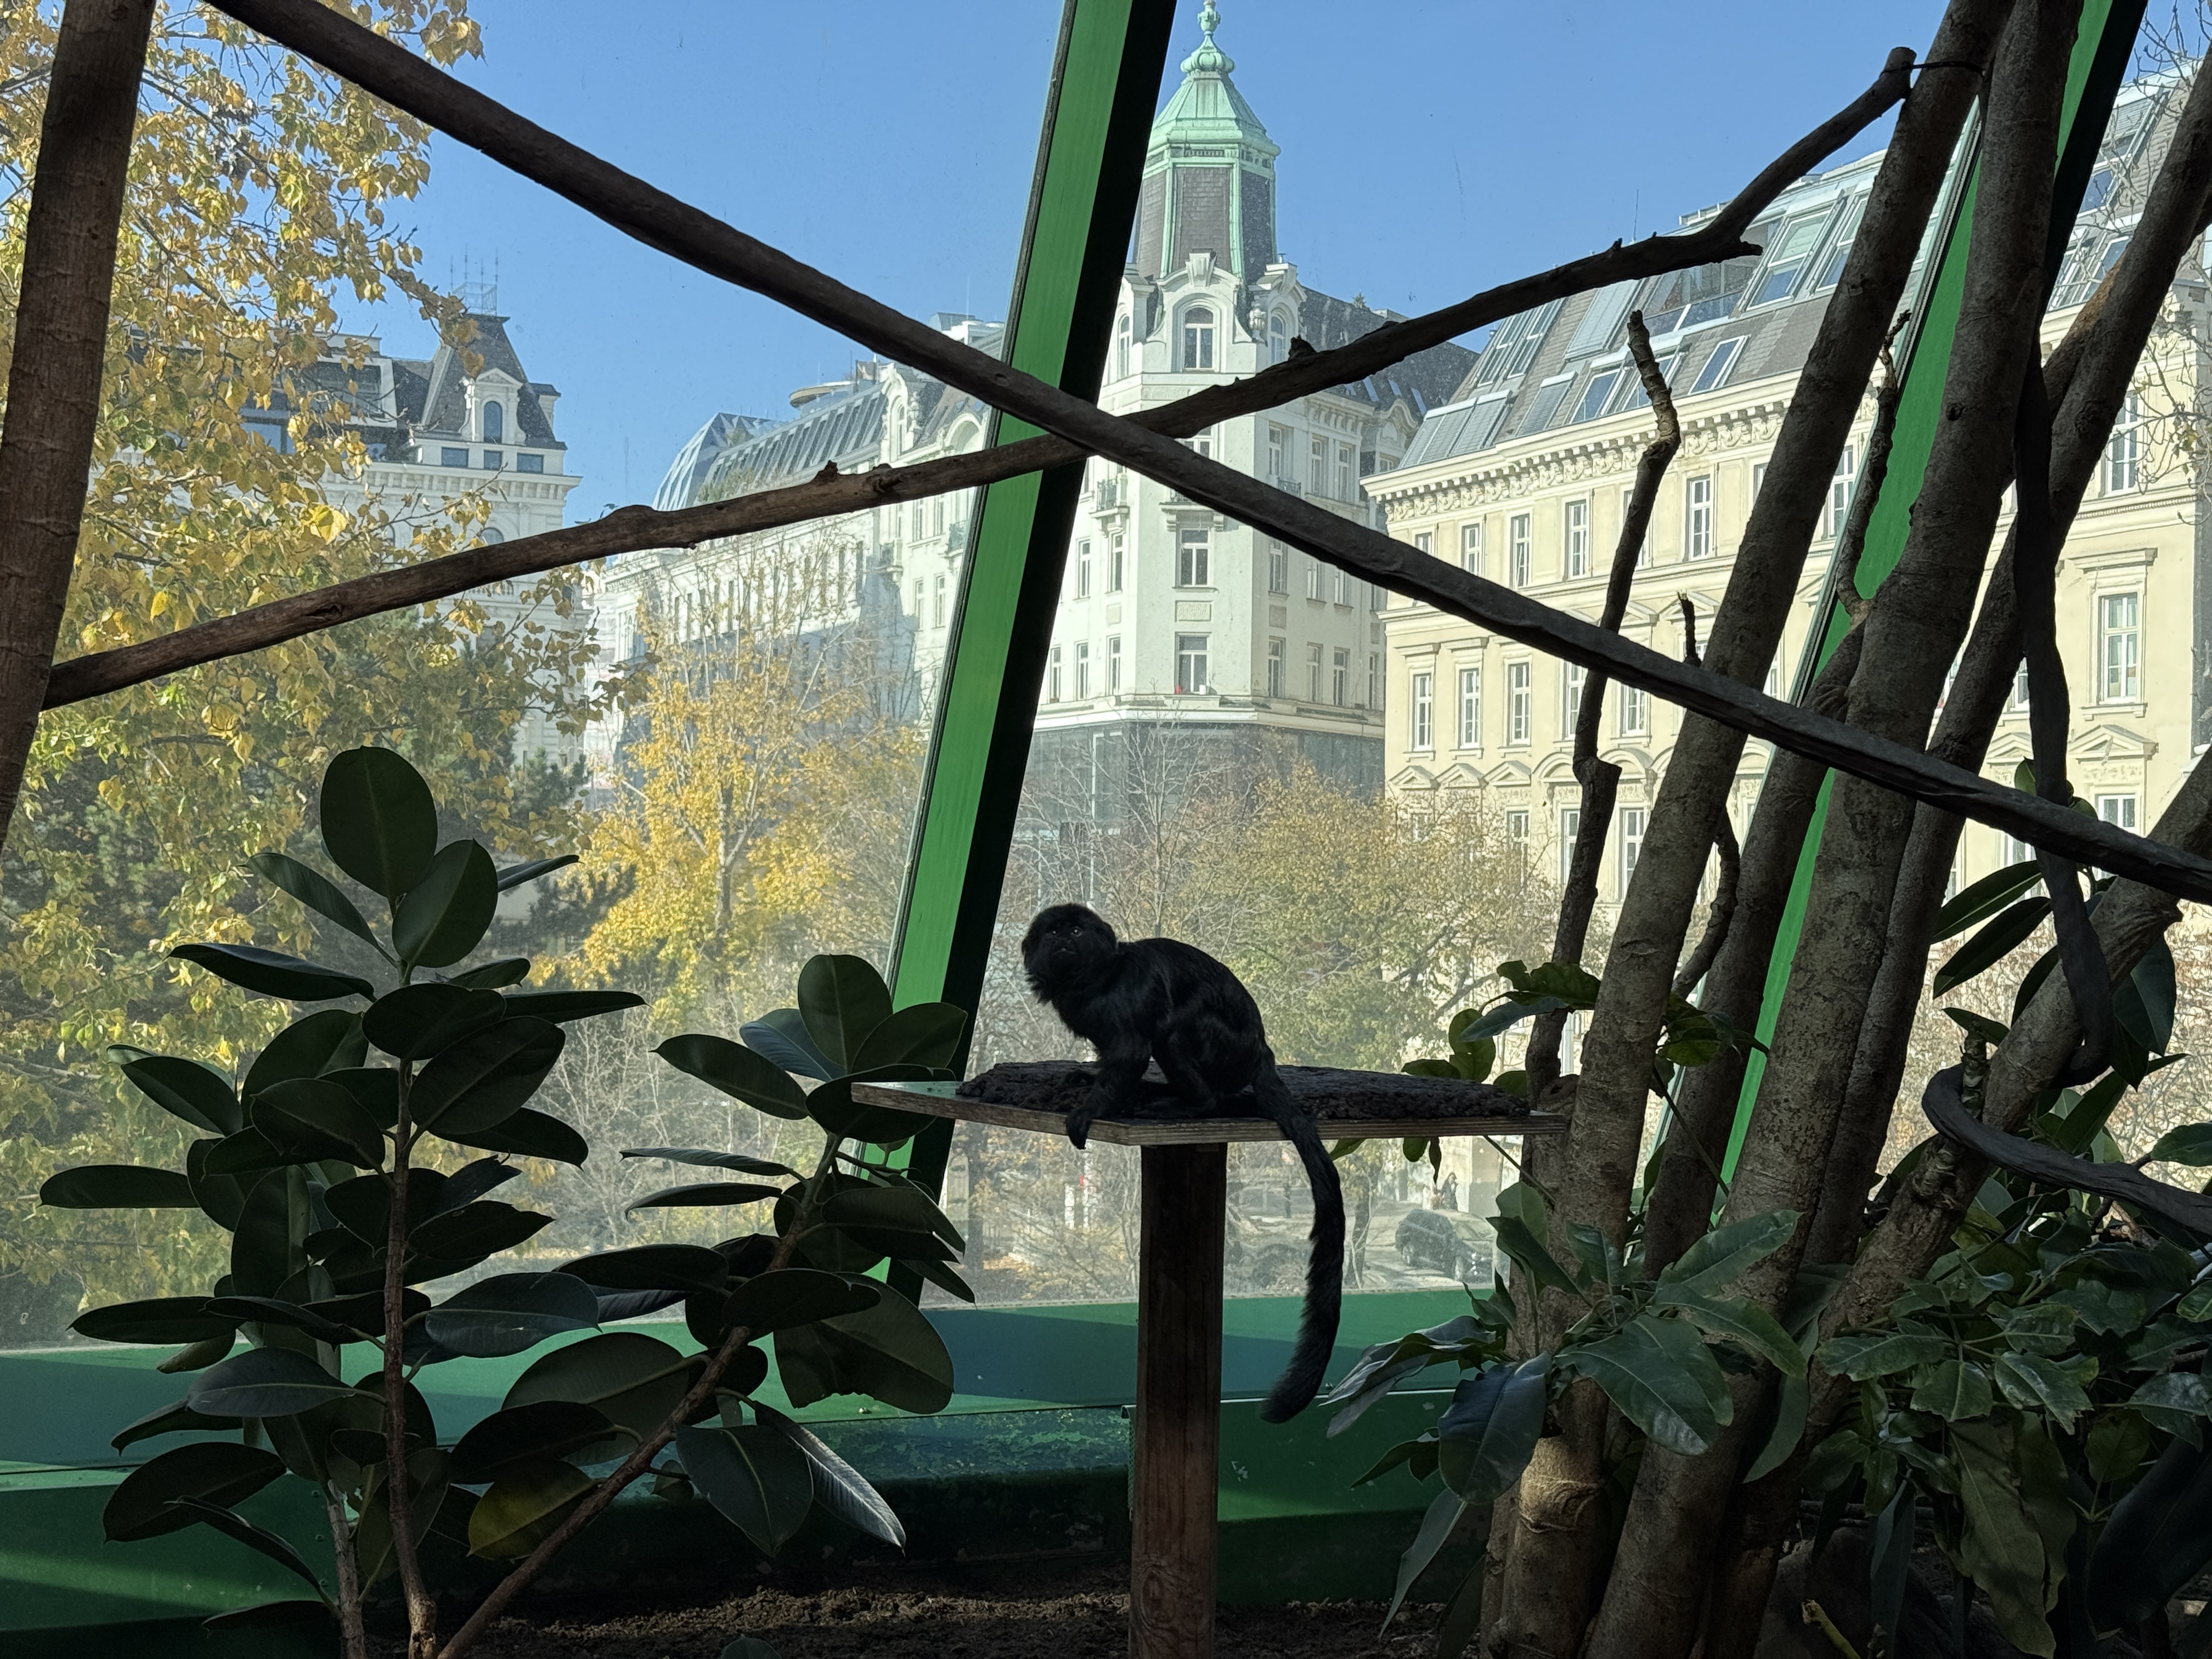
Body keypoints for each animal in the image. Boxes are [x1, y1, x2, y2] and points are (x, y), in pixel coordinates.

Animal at [1020, 902, 1342, 1423]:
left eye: (1078, 930)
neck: (1096, 983)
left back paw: (1190, 1103)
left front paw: (1091, 1110)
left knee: (1173, 1033)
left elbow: (1132, 1050)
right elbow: (1115, 1057)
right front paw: (1092, 1080)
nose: (1065, 938)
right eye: (1053, 932)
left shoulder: (1125, 998)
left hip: (1223, 1047)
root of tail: (1261, 1053)